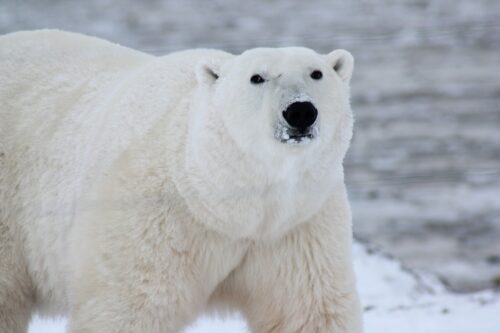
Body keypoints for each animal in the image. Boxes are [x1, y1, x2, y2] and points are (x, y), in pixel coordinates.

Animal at [0, 29, 362, 330]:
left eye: (316, 73)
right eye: (257, 77)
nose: (300, 111)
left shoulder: (297, 227)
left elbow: (307, 311)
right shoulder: (154, 220)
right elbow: (130, 308)